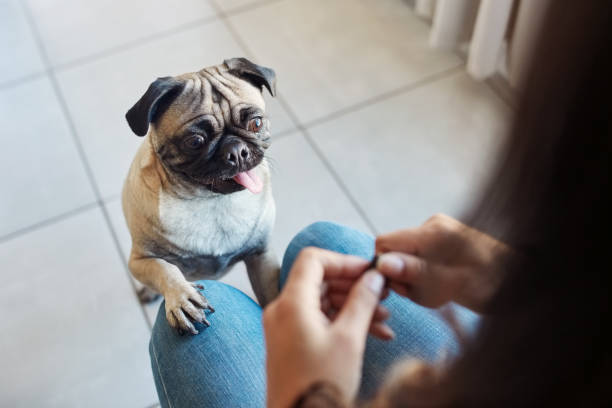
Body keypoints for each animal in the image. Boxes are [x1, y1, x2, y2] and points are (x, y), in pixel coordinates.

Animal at [120, 59, 282, 336]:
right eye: (195, 141)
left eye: (256, 124)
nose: (236, 150)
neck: (210, 201)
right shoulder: (141, 260)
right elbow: (165, 268)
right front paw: (181, 297)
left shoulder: (262, 256)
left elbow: (272, 295)